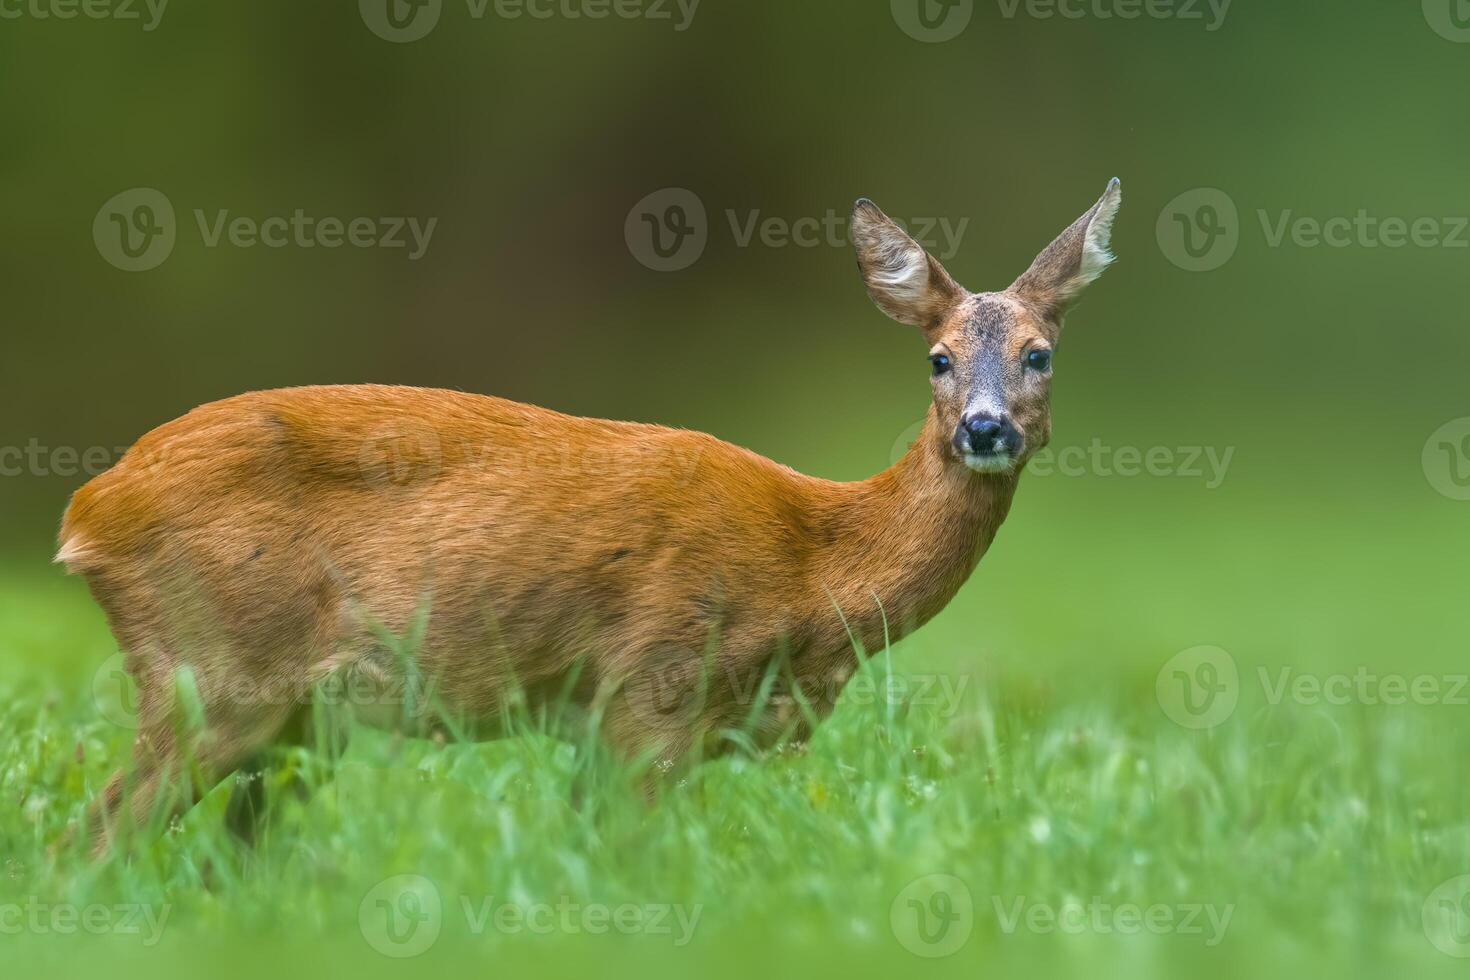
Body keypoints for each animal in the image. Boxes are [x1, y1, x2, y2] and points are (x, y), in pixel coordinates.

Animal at [51, 179, 1117, 852]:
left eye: (1039, 354)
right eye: (938, 357)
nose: (984, 428)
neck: (816, 570)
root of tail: (87, 511)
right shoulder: (652, 680)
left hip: (293, 718)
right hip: (217, 670)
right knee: (92, 842)